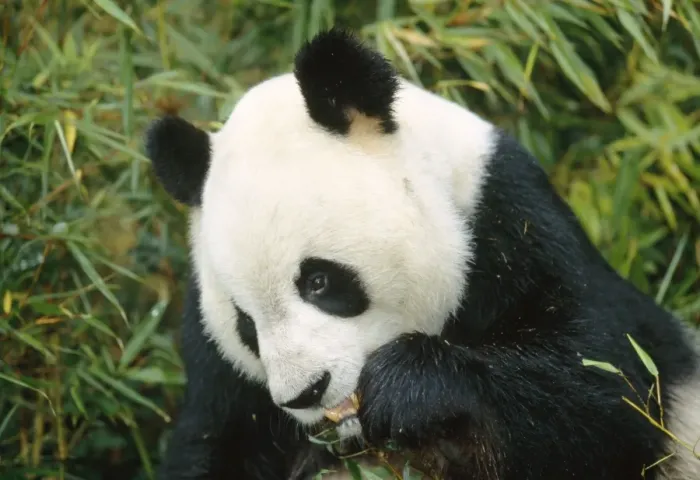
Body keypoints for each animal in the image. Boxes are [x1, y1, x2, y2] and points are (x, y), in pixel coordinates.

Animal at [144, 28, 700, 479]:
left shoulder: (514, 227)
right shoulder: (224, 380)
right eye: (245, 323)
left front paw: (406, 387)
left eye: (318, 281)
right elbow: (215, 442)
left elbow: (608, 394)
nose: (306, 392)